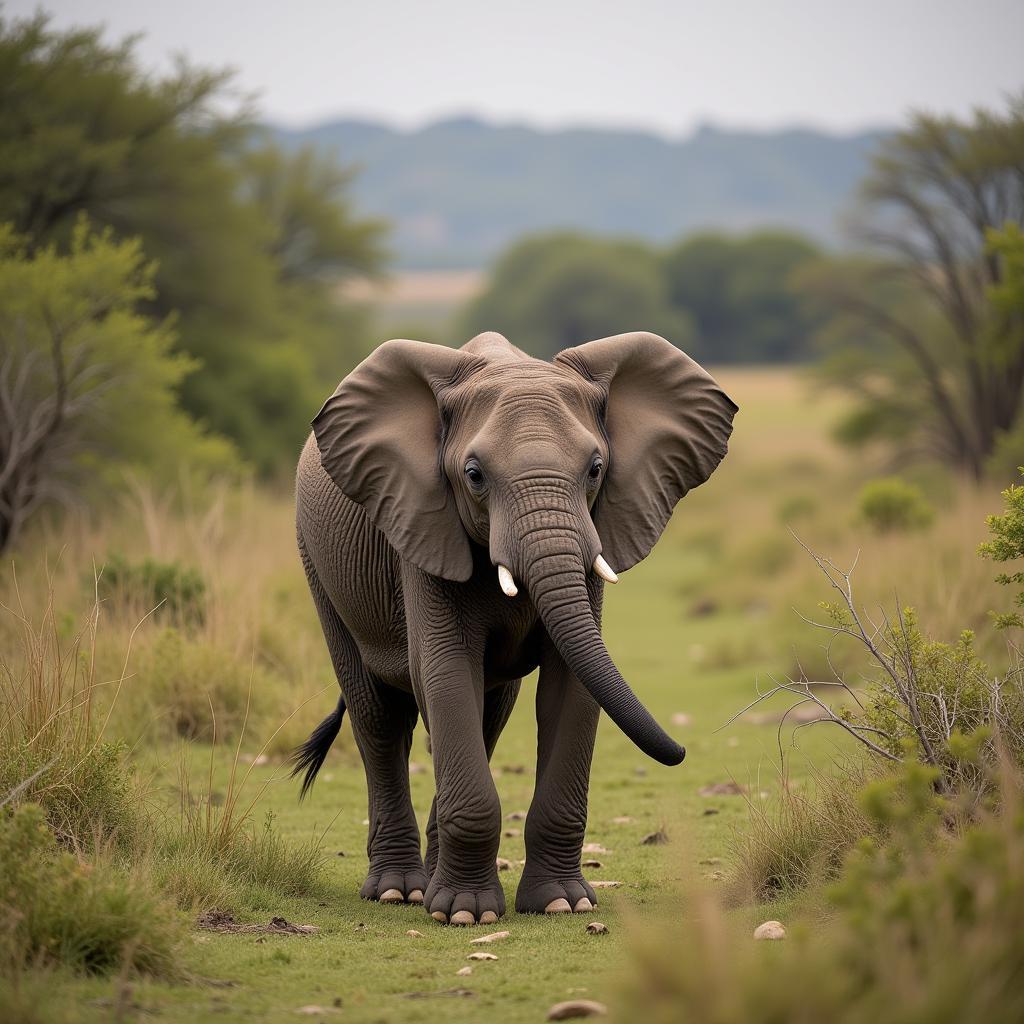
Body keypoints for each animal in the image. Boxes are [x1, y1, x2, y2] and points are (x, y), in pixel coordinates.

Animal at [290, 331, 737, 925]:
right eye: (474, 475)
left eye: (596, 469)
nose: (682, 751)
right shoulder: (422, 524)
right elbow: (445, 673)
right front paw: (464, 914)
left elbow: (572, 686)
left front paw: (561, 904)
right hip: (319, 566)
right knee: (379, 717)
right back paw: (398, 891)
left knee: (487, 716)